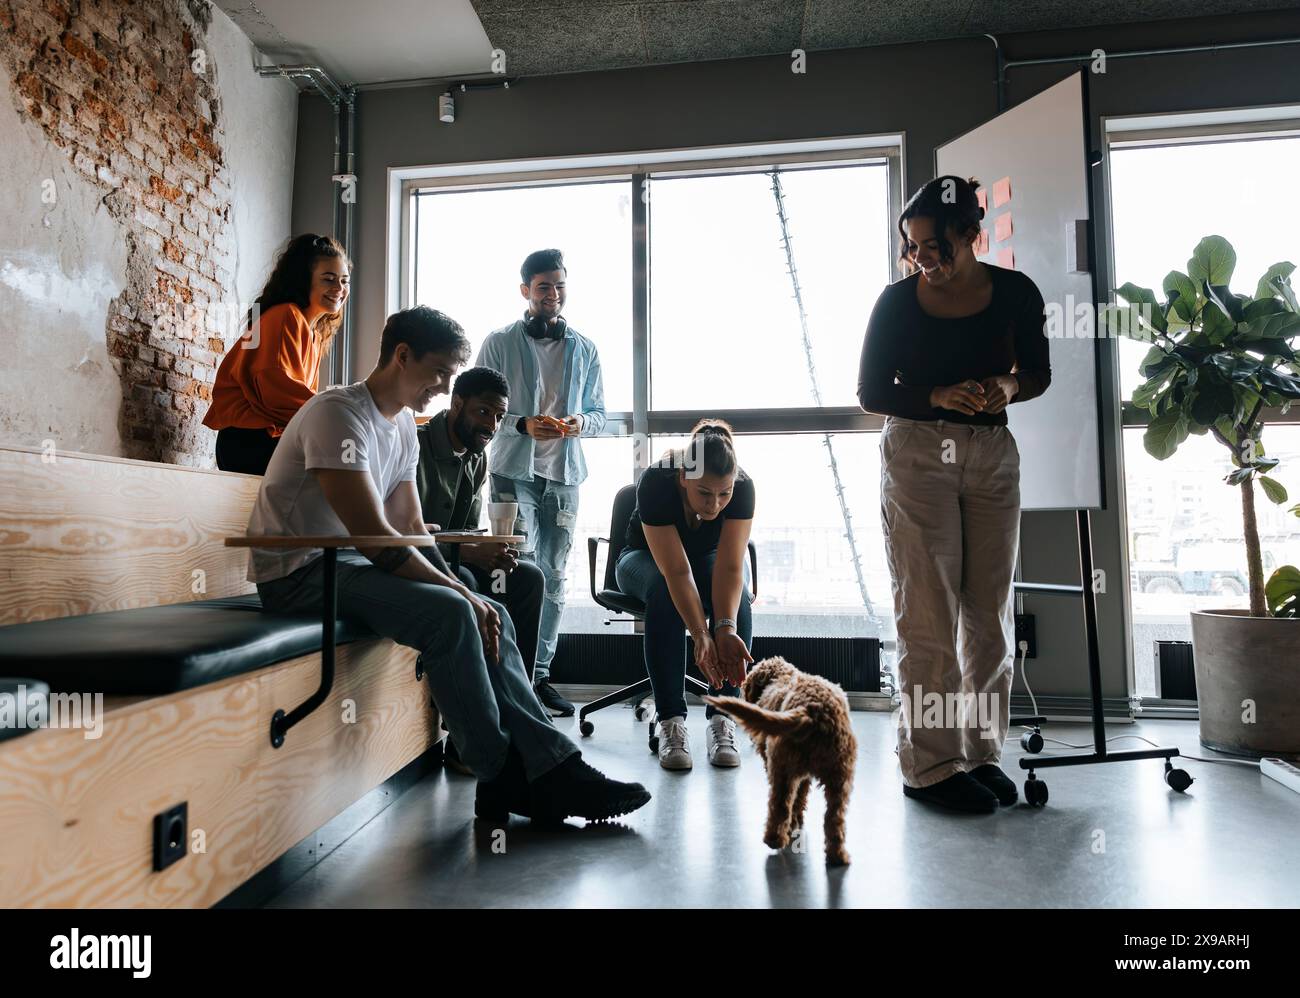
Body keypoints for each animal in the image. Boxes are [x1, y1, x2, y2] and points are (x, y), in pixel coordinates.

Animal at [707, 654, 857, 862]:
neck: (780, 677)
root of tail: (811, 711)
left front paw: (794, 820)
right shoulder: (803, 775)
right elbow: (801, 795)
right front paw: (798, 817)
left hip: (782, 767)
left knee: (780, 805)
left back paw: (774, 839)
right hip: (840, 776)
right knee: (834, 817)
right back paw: (838, 855)